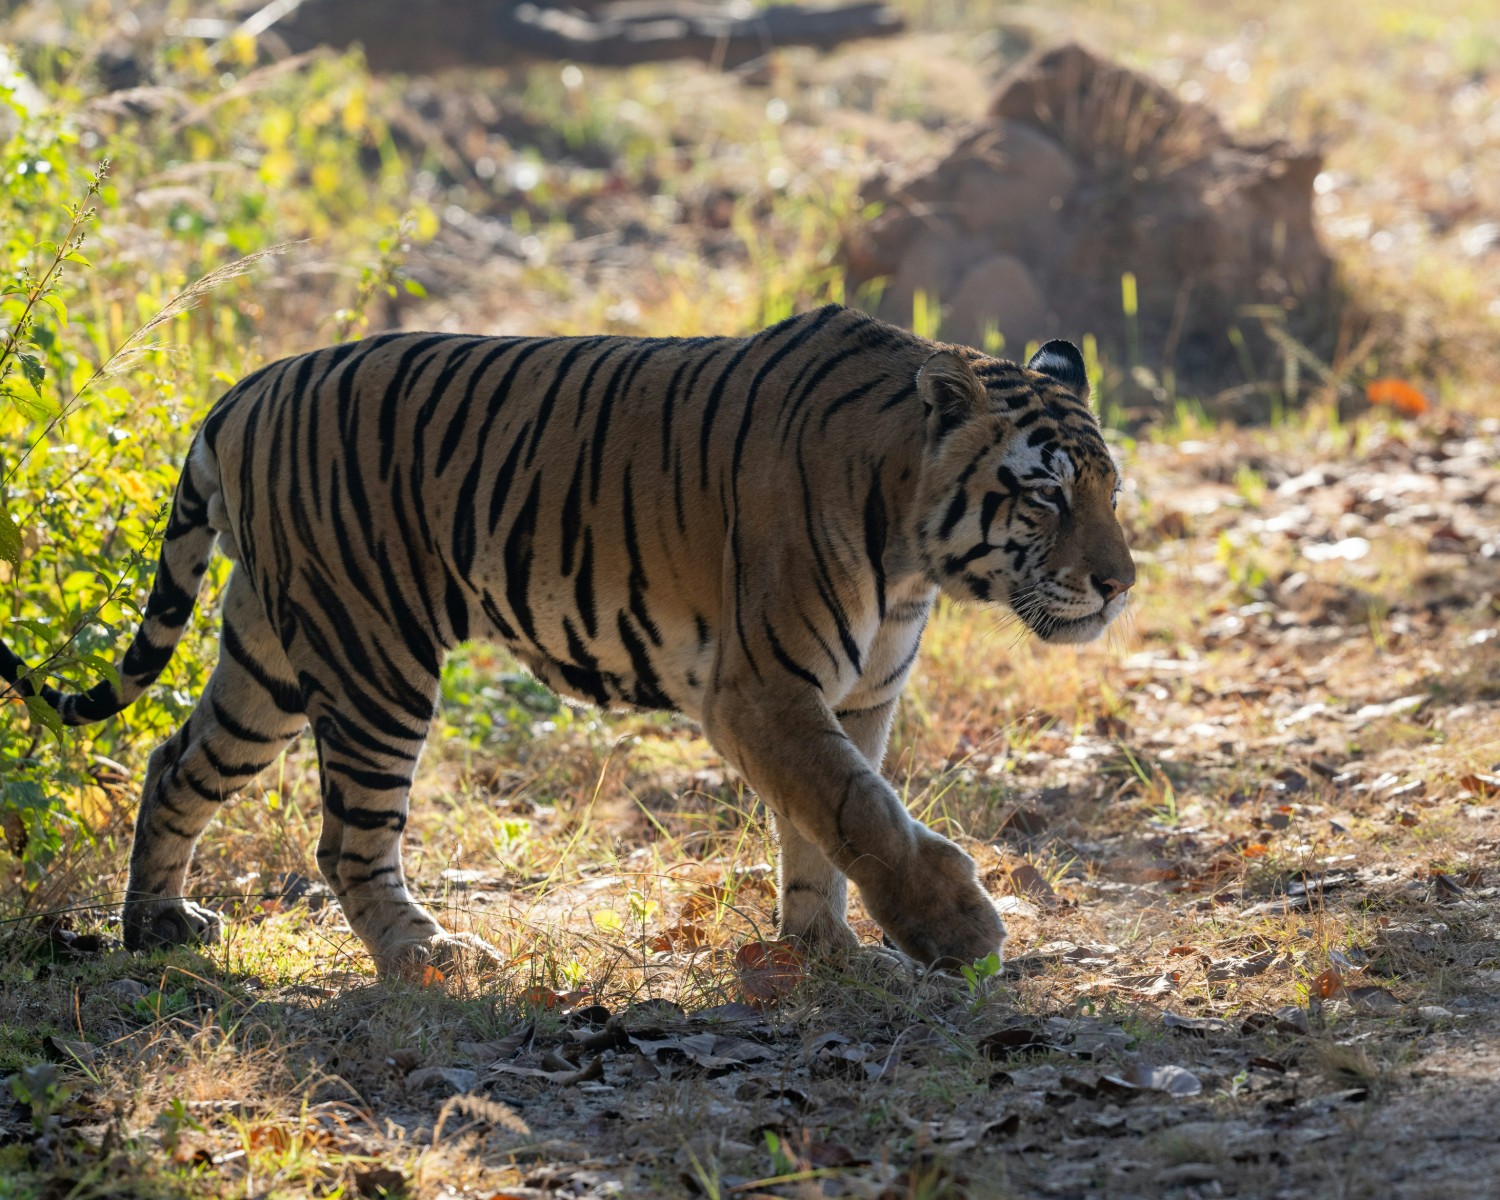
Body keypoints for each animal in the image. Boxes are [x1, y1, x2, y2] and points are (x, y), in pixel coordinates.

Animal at [0, 304, 1135, 977]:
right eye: (1044, 495)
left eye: (1113, 490)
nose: (1121, 585)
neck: (912, 557)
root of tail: (247, 389)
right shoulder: (764, 688)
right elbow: (860, 810)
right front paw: (957, 932)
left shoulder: (857, 698)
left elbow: (824, 827)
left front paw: (826, 950)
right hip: (374, 661)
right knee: (349, 839)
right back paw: (430, 954)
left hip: (269, 658)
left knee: (171, 761)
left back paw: (157, 926)